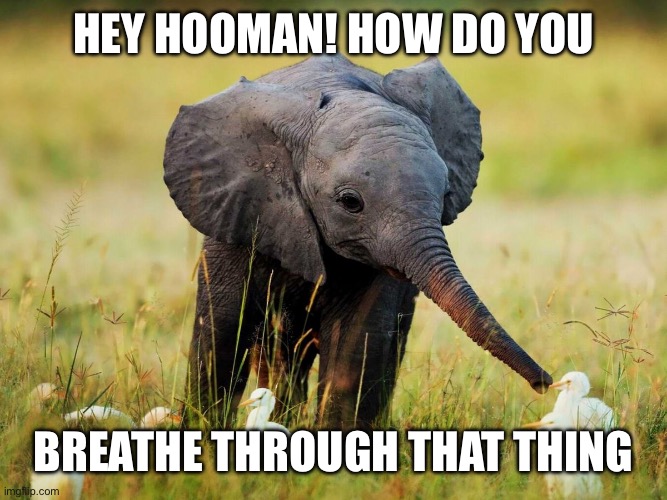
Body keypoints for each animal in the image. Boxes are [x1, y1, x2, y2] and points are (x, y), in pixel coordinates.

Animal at [163, 54, 552, 429]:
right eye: (350, 202)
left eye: (445, 195)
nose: (545, 383)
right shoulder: (237, 212)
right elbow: (223, 332)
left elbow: (356, 343)